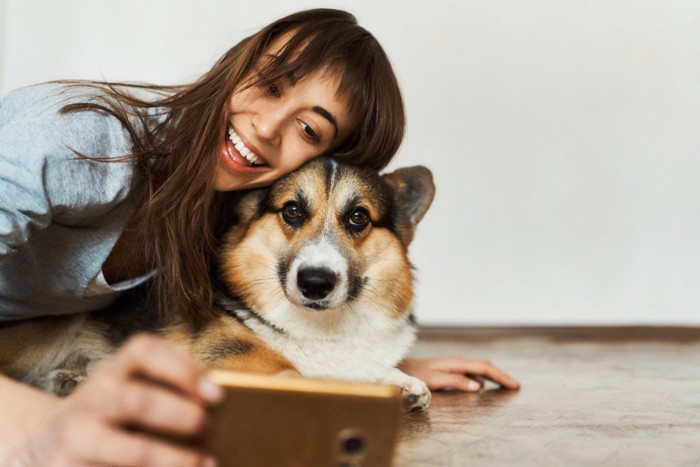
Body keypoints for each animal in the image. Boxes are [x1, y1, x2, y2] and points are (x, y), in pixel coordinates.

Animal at [0, 159, 434, 412]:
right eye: (292, 210)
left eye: (359, 217)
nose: (315, 282)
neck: (323, 327)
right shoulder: (233, 361)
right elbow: (298, 374)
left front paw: (402, 383)